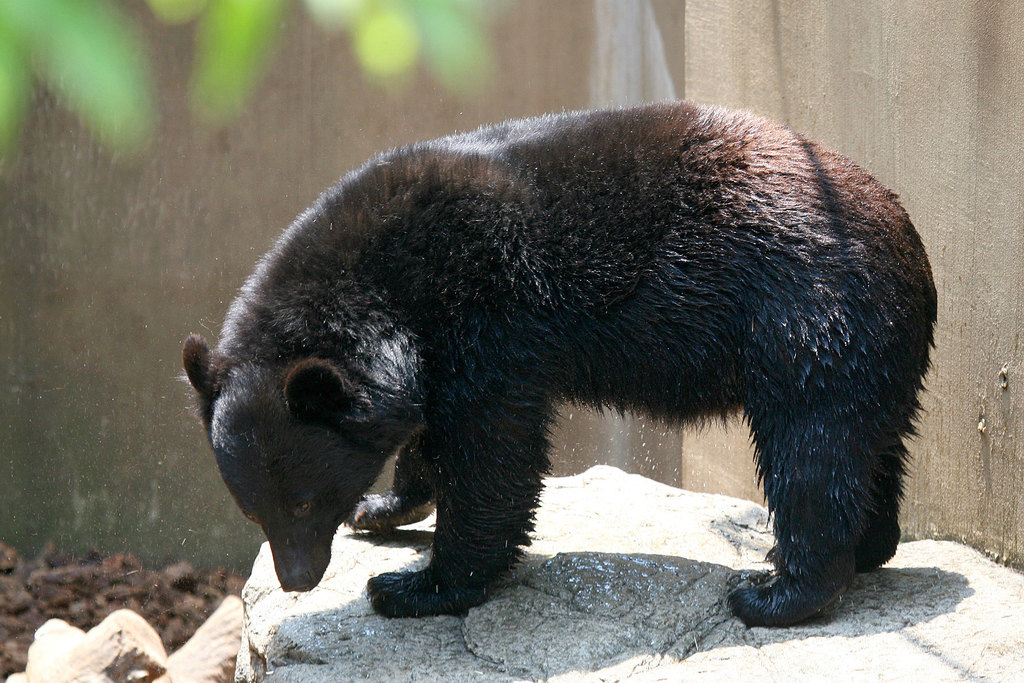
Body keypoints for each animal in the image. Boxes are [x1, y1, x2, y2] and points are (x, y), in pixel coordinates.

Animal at [182, 98, 937, 626]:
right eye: (251, 509)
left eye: (306, 499)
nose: (298, 579)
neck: (385, 284)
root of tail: (912, 242)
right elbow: (437, 435)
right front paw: (383, 508)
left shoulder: (487, 306)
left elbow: (492, 450)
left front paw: (414, 585)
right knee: (873, 445)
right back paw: (868, 547)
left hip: (808, 320)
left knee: (813, 450)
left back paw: (775, 592)